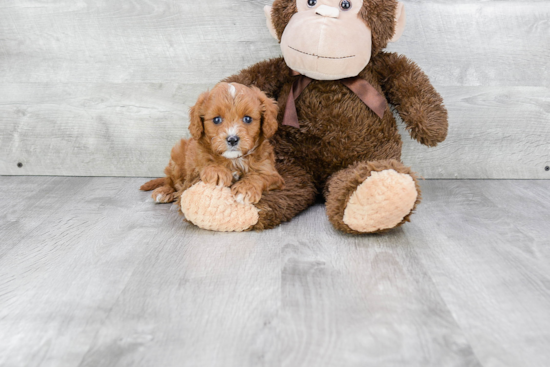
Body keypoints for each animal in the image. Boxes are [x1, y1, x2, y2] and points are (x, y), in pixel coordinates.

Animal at [142, 81, 284, 206]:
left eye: (247, 119)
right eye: (216, 120)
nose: (232, 139)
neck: (234, 160)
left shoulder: (273, 174)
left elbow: (261, 176)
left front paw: (246, 189)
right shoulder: (193, 170)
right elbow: (204, 163)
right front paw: (217, 171)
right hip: (177, 153)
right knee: (171, 180)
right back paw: (164, 191)